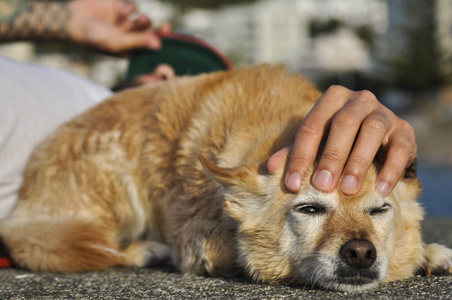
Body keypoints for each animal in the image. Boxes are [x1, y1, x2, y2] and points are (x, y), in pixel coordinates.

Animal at [0, 65, 452, 290]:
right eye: (309, 209)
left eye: (379, 210)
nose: (360, 252)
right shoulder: (197, 240)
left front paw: (428, 252)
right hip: (115, 185)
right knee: (94, 245)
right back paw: (146, 250)